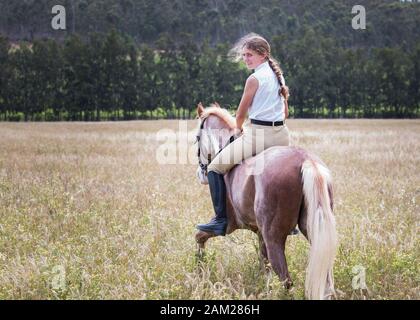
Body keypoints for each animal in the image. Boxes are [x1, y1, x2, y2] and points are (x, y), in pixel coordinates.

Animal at [194, 103, 338, 300]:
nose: (200, 175)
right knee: (326, 278)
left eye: (196, 138)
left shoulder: (231, 224)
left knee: (286, 280)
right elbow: (264, 266)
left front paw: (200, 267)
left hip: (274, 237)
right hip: (313, 229)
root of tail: (306, 160)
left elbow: (199, 236)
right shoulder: (259, 232)